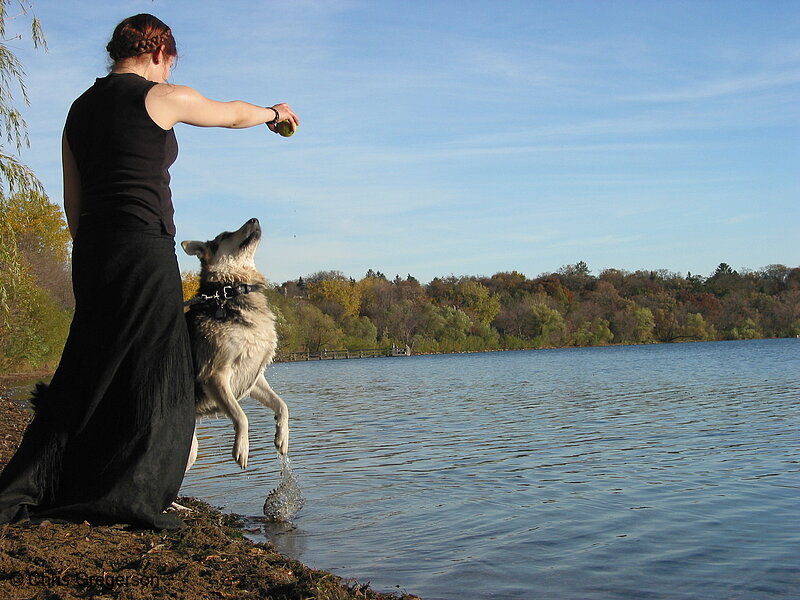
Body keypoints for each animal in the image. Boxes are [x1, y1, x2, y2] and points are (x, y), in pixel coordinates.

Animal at [180, 218, 288, 472]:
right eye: (225, 235)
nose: (254, 219)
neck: (229, 291)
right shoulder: (215, 374)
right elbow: (241, 416)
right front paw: (242, 448)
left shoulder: (253, 376)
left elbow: (282, 405)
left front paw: (281, 437)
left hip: (190, 449)